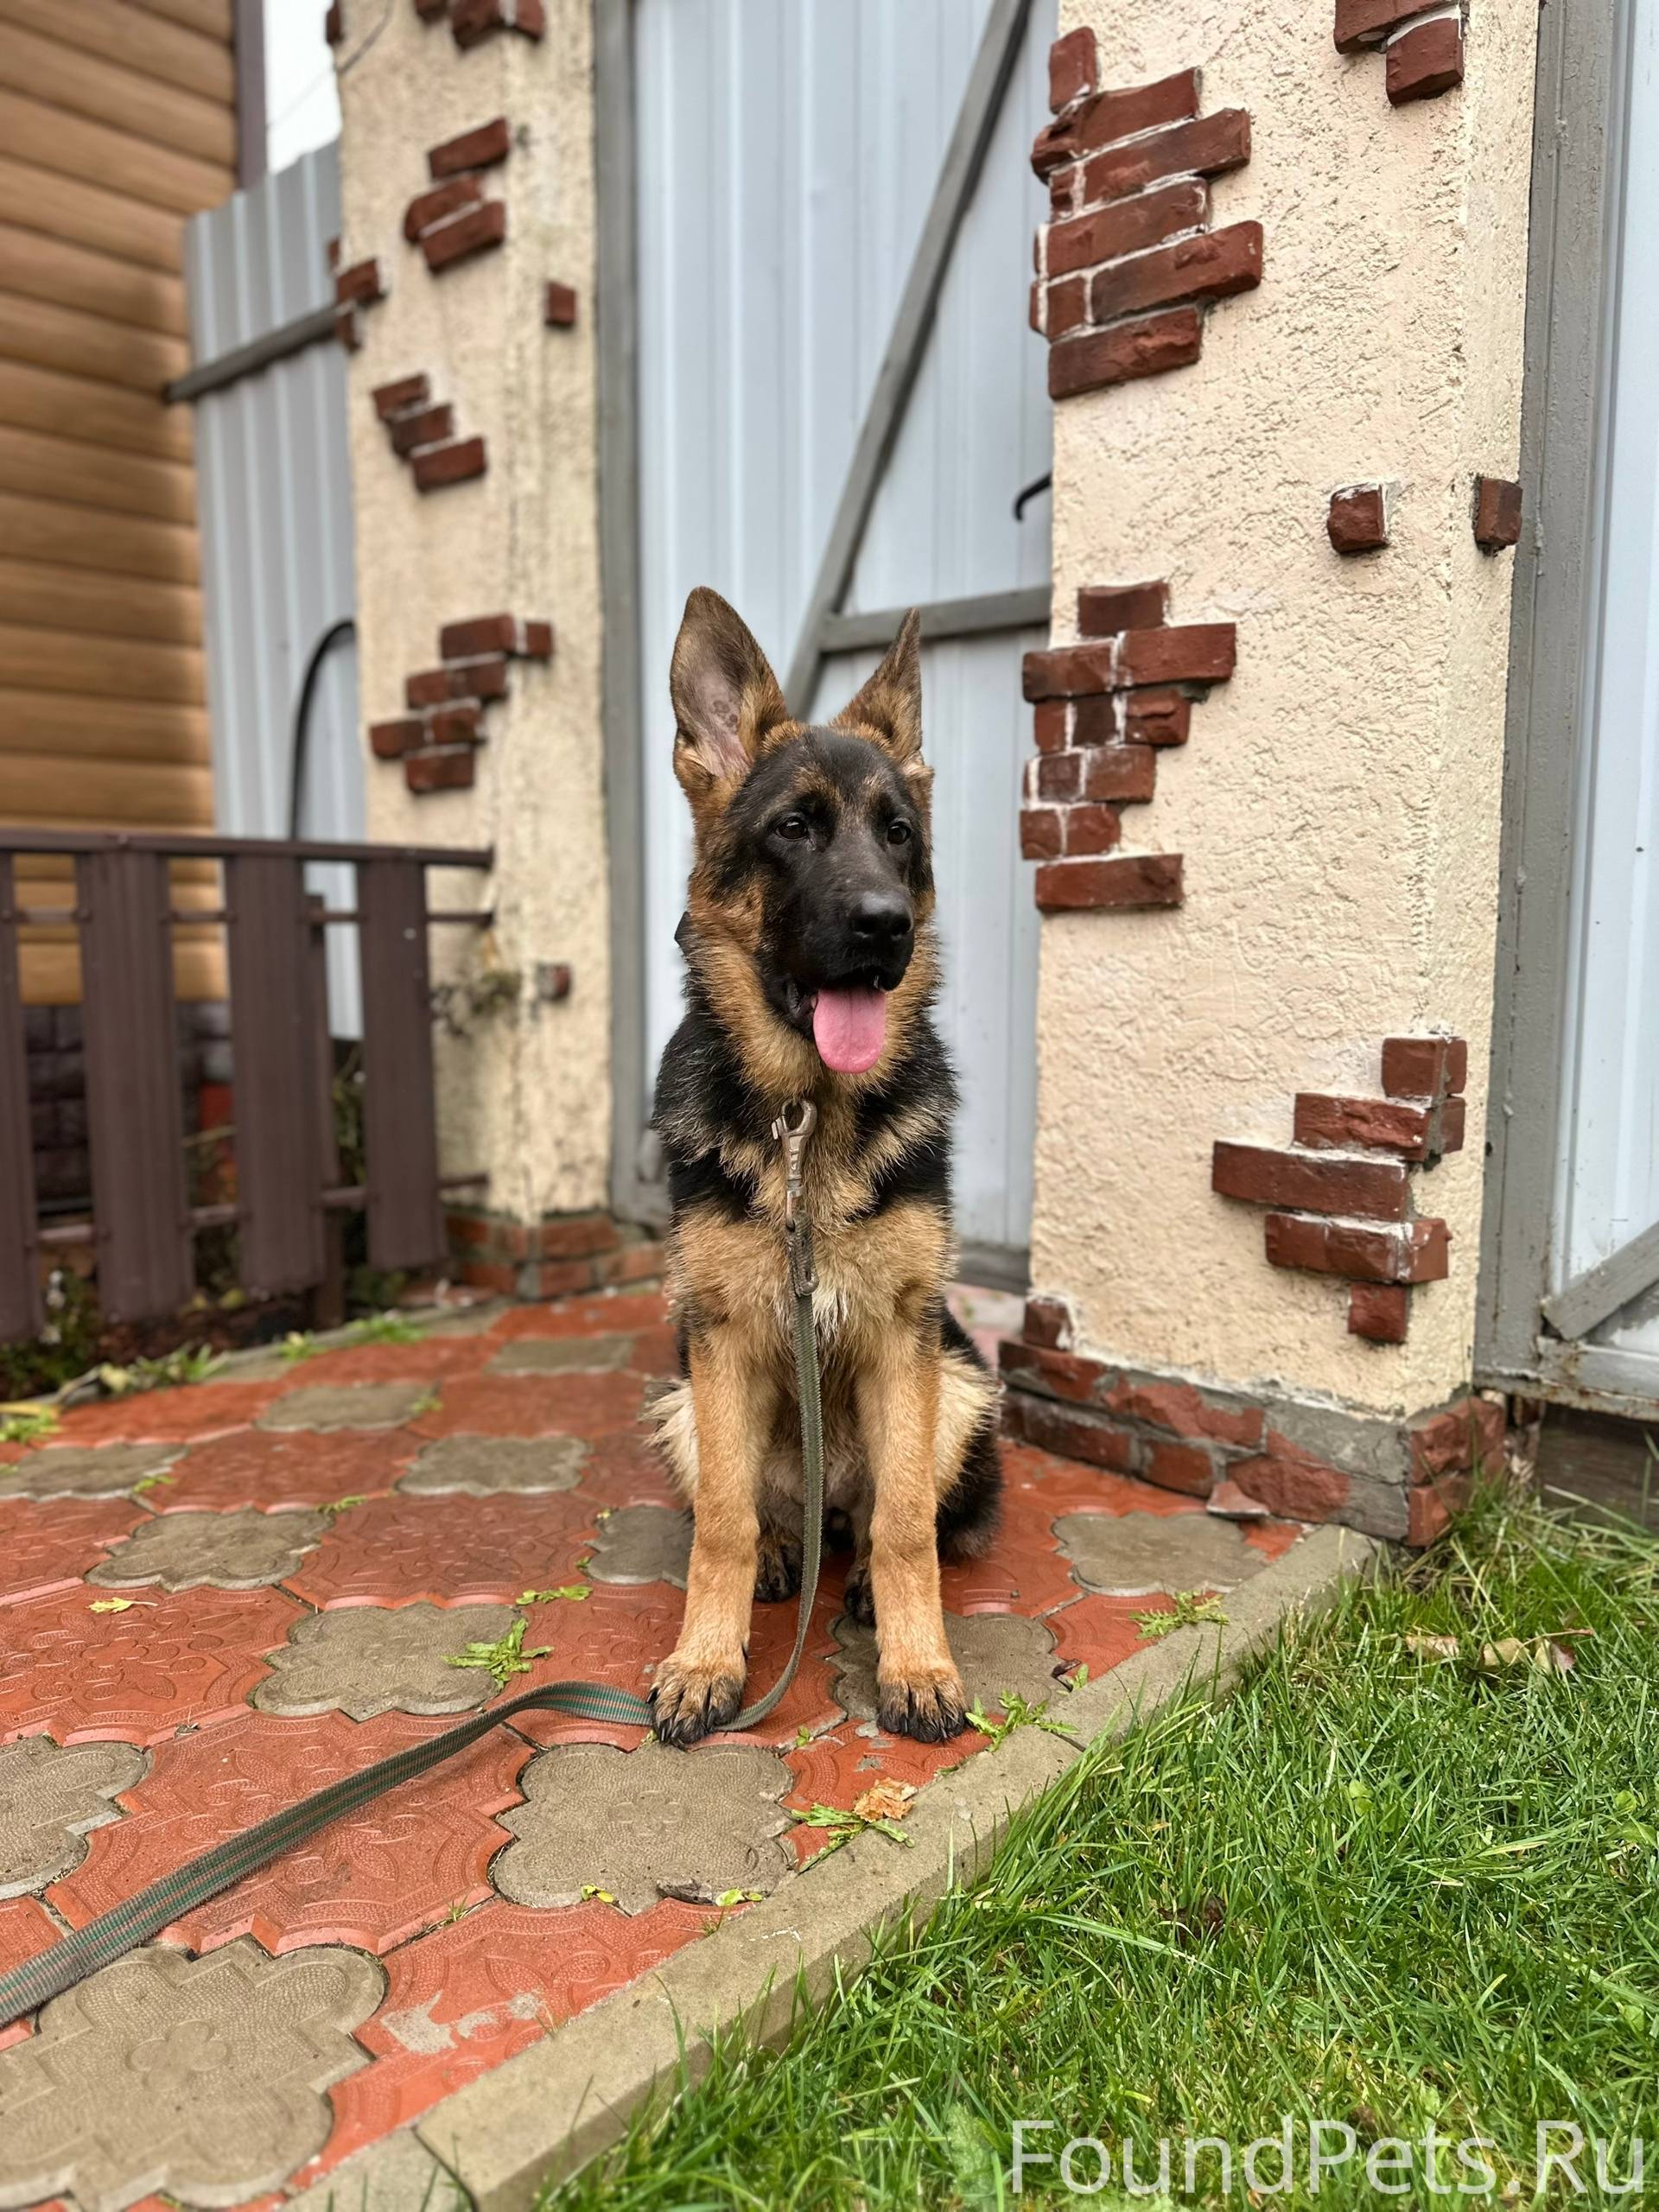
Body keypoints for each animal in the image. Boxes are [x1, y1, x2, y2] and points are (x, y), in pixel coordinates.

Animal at [647, 587, 1002, 1748]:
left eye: (898, 836)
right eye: (794, 828)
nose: (886, 928)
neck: (807, 1112)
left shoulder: (904, 1338)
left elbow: (905, 1528)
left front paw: (920, 1664)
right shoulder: (717, 1342)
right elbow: (719, 1522)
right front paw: (705, 1659)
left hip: (962, 1385)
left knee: (883, 1512)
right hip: (683, 1402)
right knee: (767, 1513)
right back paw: (781, 1555)